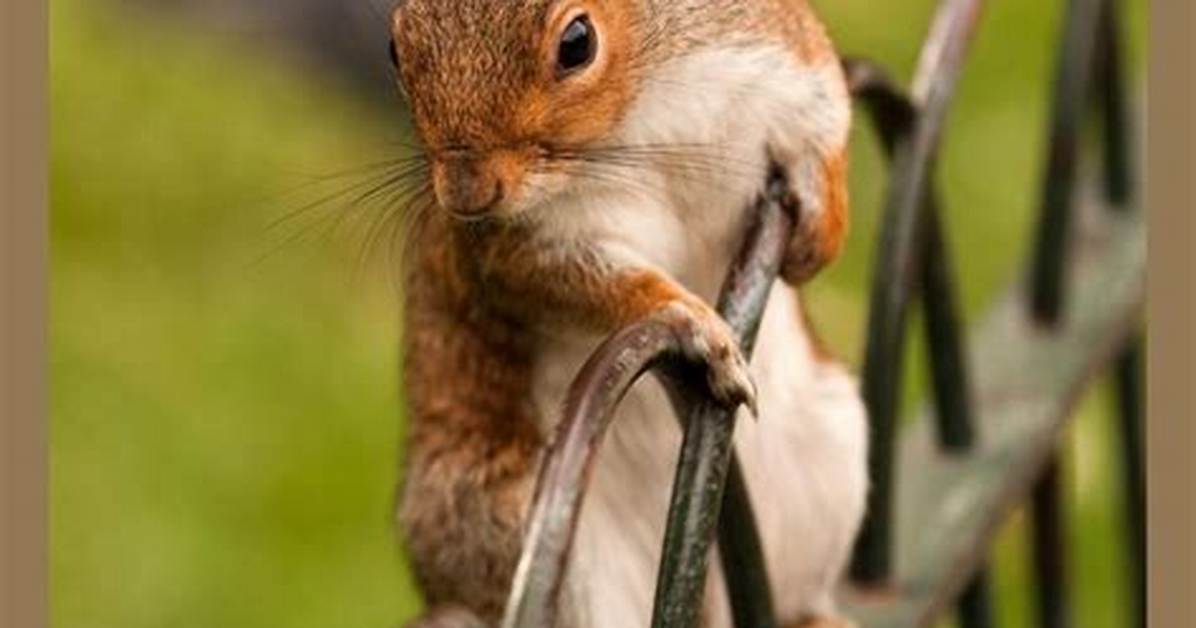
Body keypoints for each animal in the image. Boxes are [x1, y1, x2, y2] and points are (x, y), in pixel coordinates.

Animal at [388, 1, 867, 627]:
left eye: (577, 42)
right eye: (395, 49)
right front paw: (693, 323)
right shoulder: (526, 245)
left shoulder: (774, 51)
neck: (635, 118)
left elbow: (824, 117)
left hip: (829, 456)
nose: (466, 194)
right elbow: (587, 284)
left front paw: (821, 232)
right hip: (518, 532)